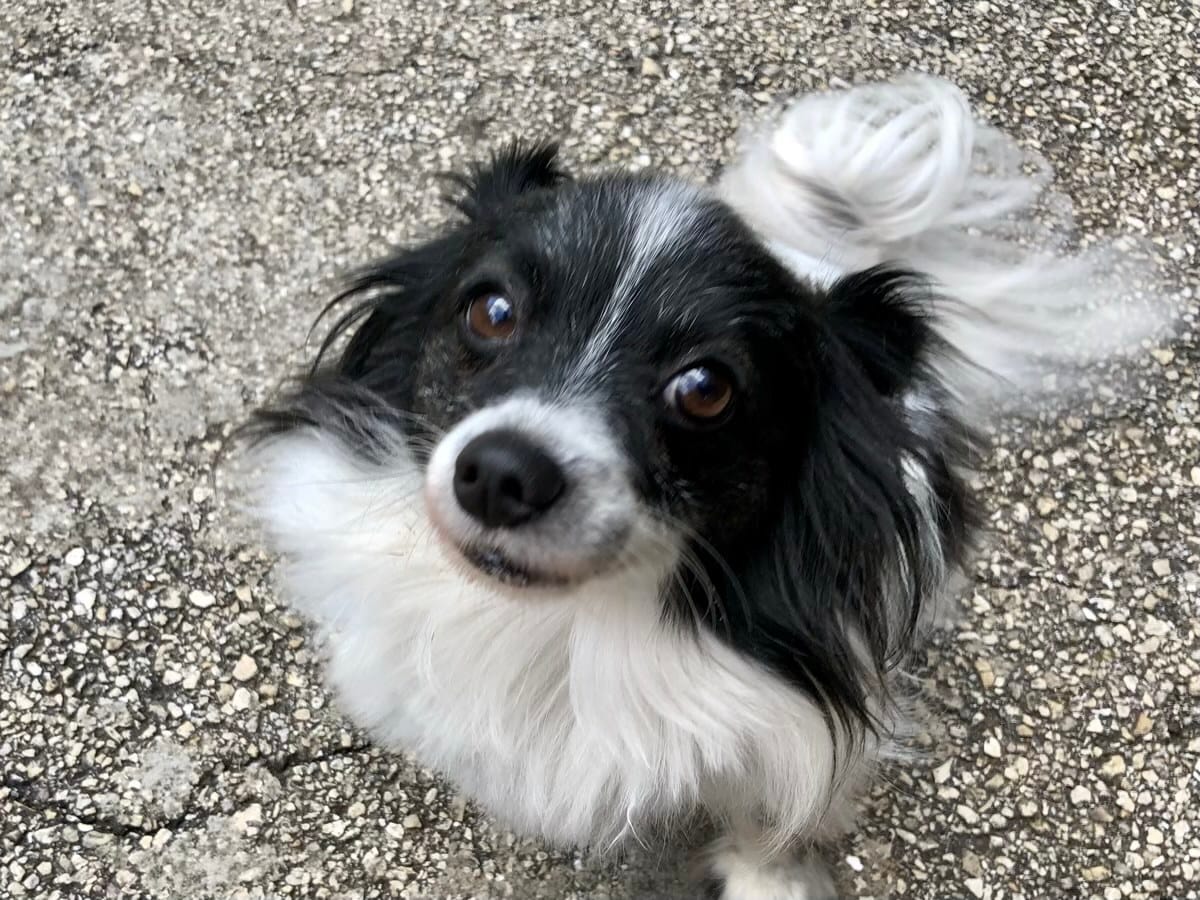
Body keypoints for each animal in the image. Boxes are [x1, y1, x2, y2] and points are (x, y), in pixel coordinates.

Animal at [250, 79, 1161, 900]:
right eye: (491, 310)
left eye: (704, 388)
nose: (503, 473)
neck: (569, 626)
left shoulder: (798, 727)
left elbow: (774, 817)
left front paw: (771, 883)